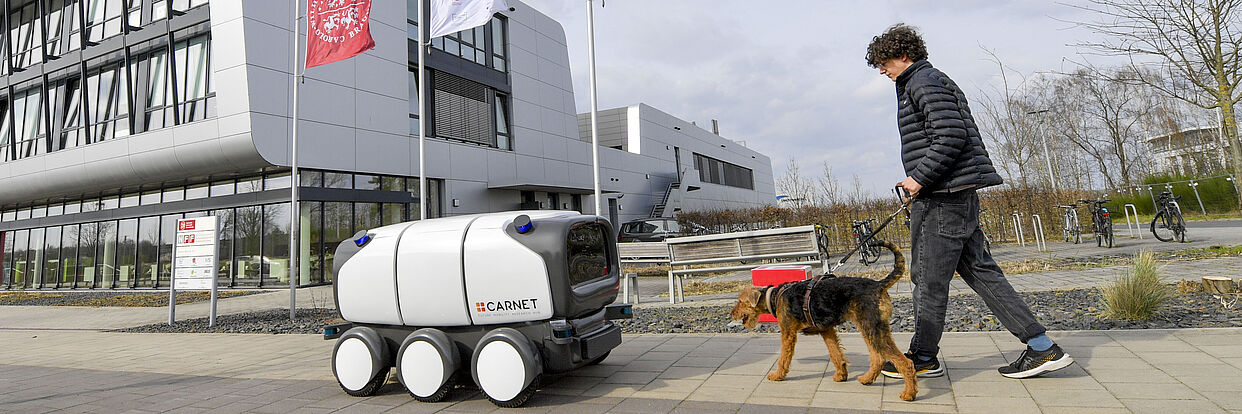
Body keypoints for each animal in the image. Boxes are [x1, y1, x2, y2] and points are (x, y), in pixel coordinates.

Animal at [725, 238, 919, 400]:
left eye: (740, 301)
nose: (732, 313)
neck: (774, 296)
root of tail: (879, 285)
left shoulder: (788, 333)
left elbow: (783, 358)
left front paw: (777, 375)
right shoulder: (827, 330)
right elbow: (835, 354)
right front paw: (841, 375)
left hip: (872, 329)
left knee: (905, 362)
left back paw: (908, 394)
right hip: (870, 328)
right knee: (878, 358)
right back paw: (866, 379)